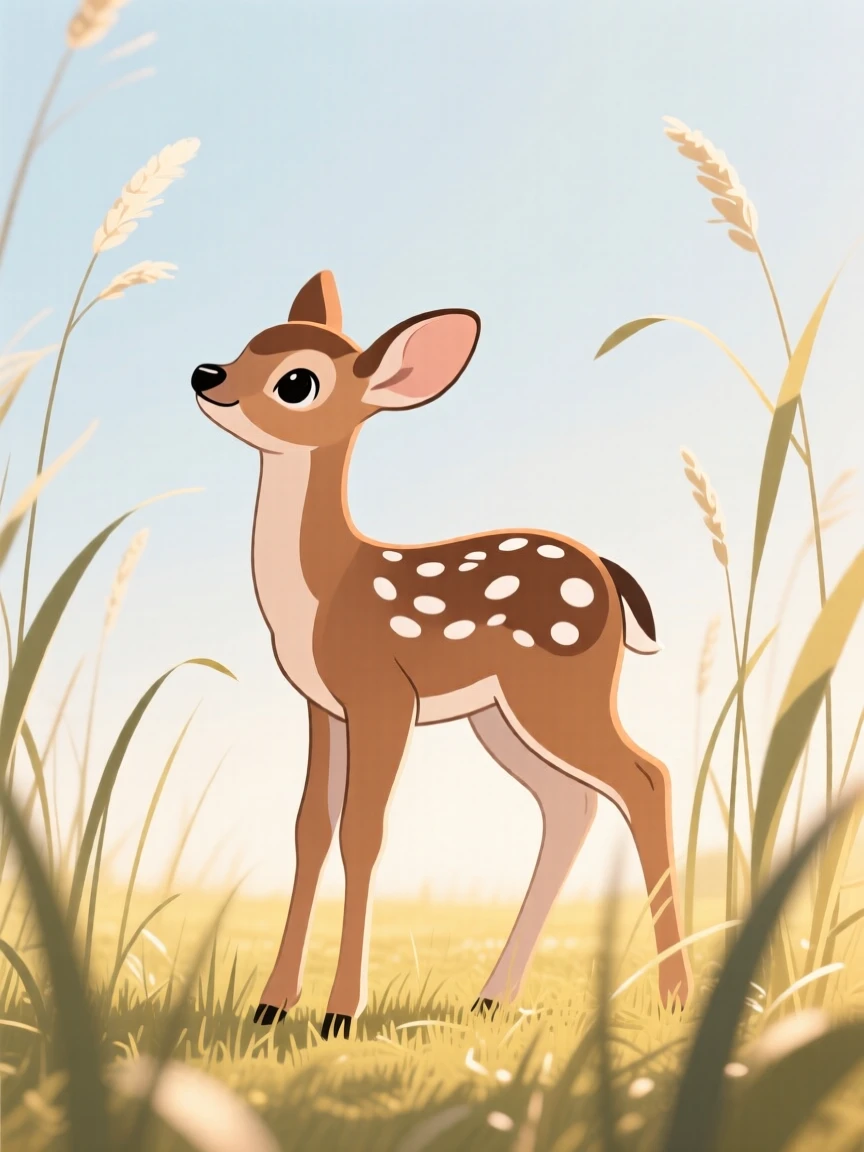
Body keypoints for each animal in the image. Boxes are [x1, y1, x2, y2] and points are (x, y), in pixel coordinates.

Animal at [191, 270, 691, 1040]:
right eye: (251, 342)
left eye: (297, 381)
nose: (205, 374)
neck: (326, 590)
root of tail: (611, 577)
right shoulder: (320, 705)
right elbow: (310, 828)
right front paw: (272, 1005)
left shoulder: (384, 695)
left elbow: (364, 831)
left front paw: (340, 1014)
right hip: (502, 716)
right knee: (570, 805)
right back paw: (494, 997)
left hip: (560, 690)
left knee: (647, 777)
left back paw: (674, 997)